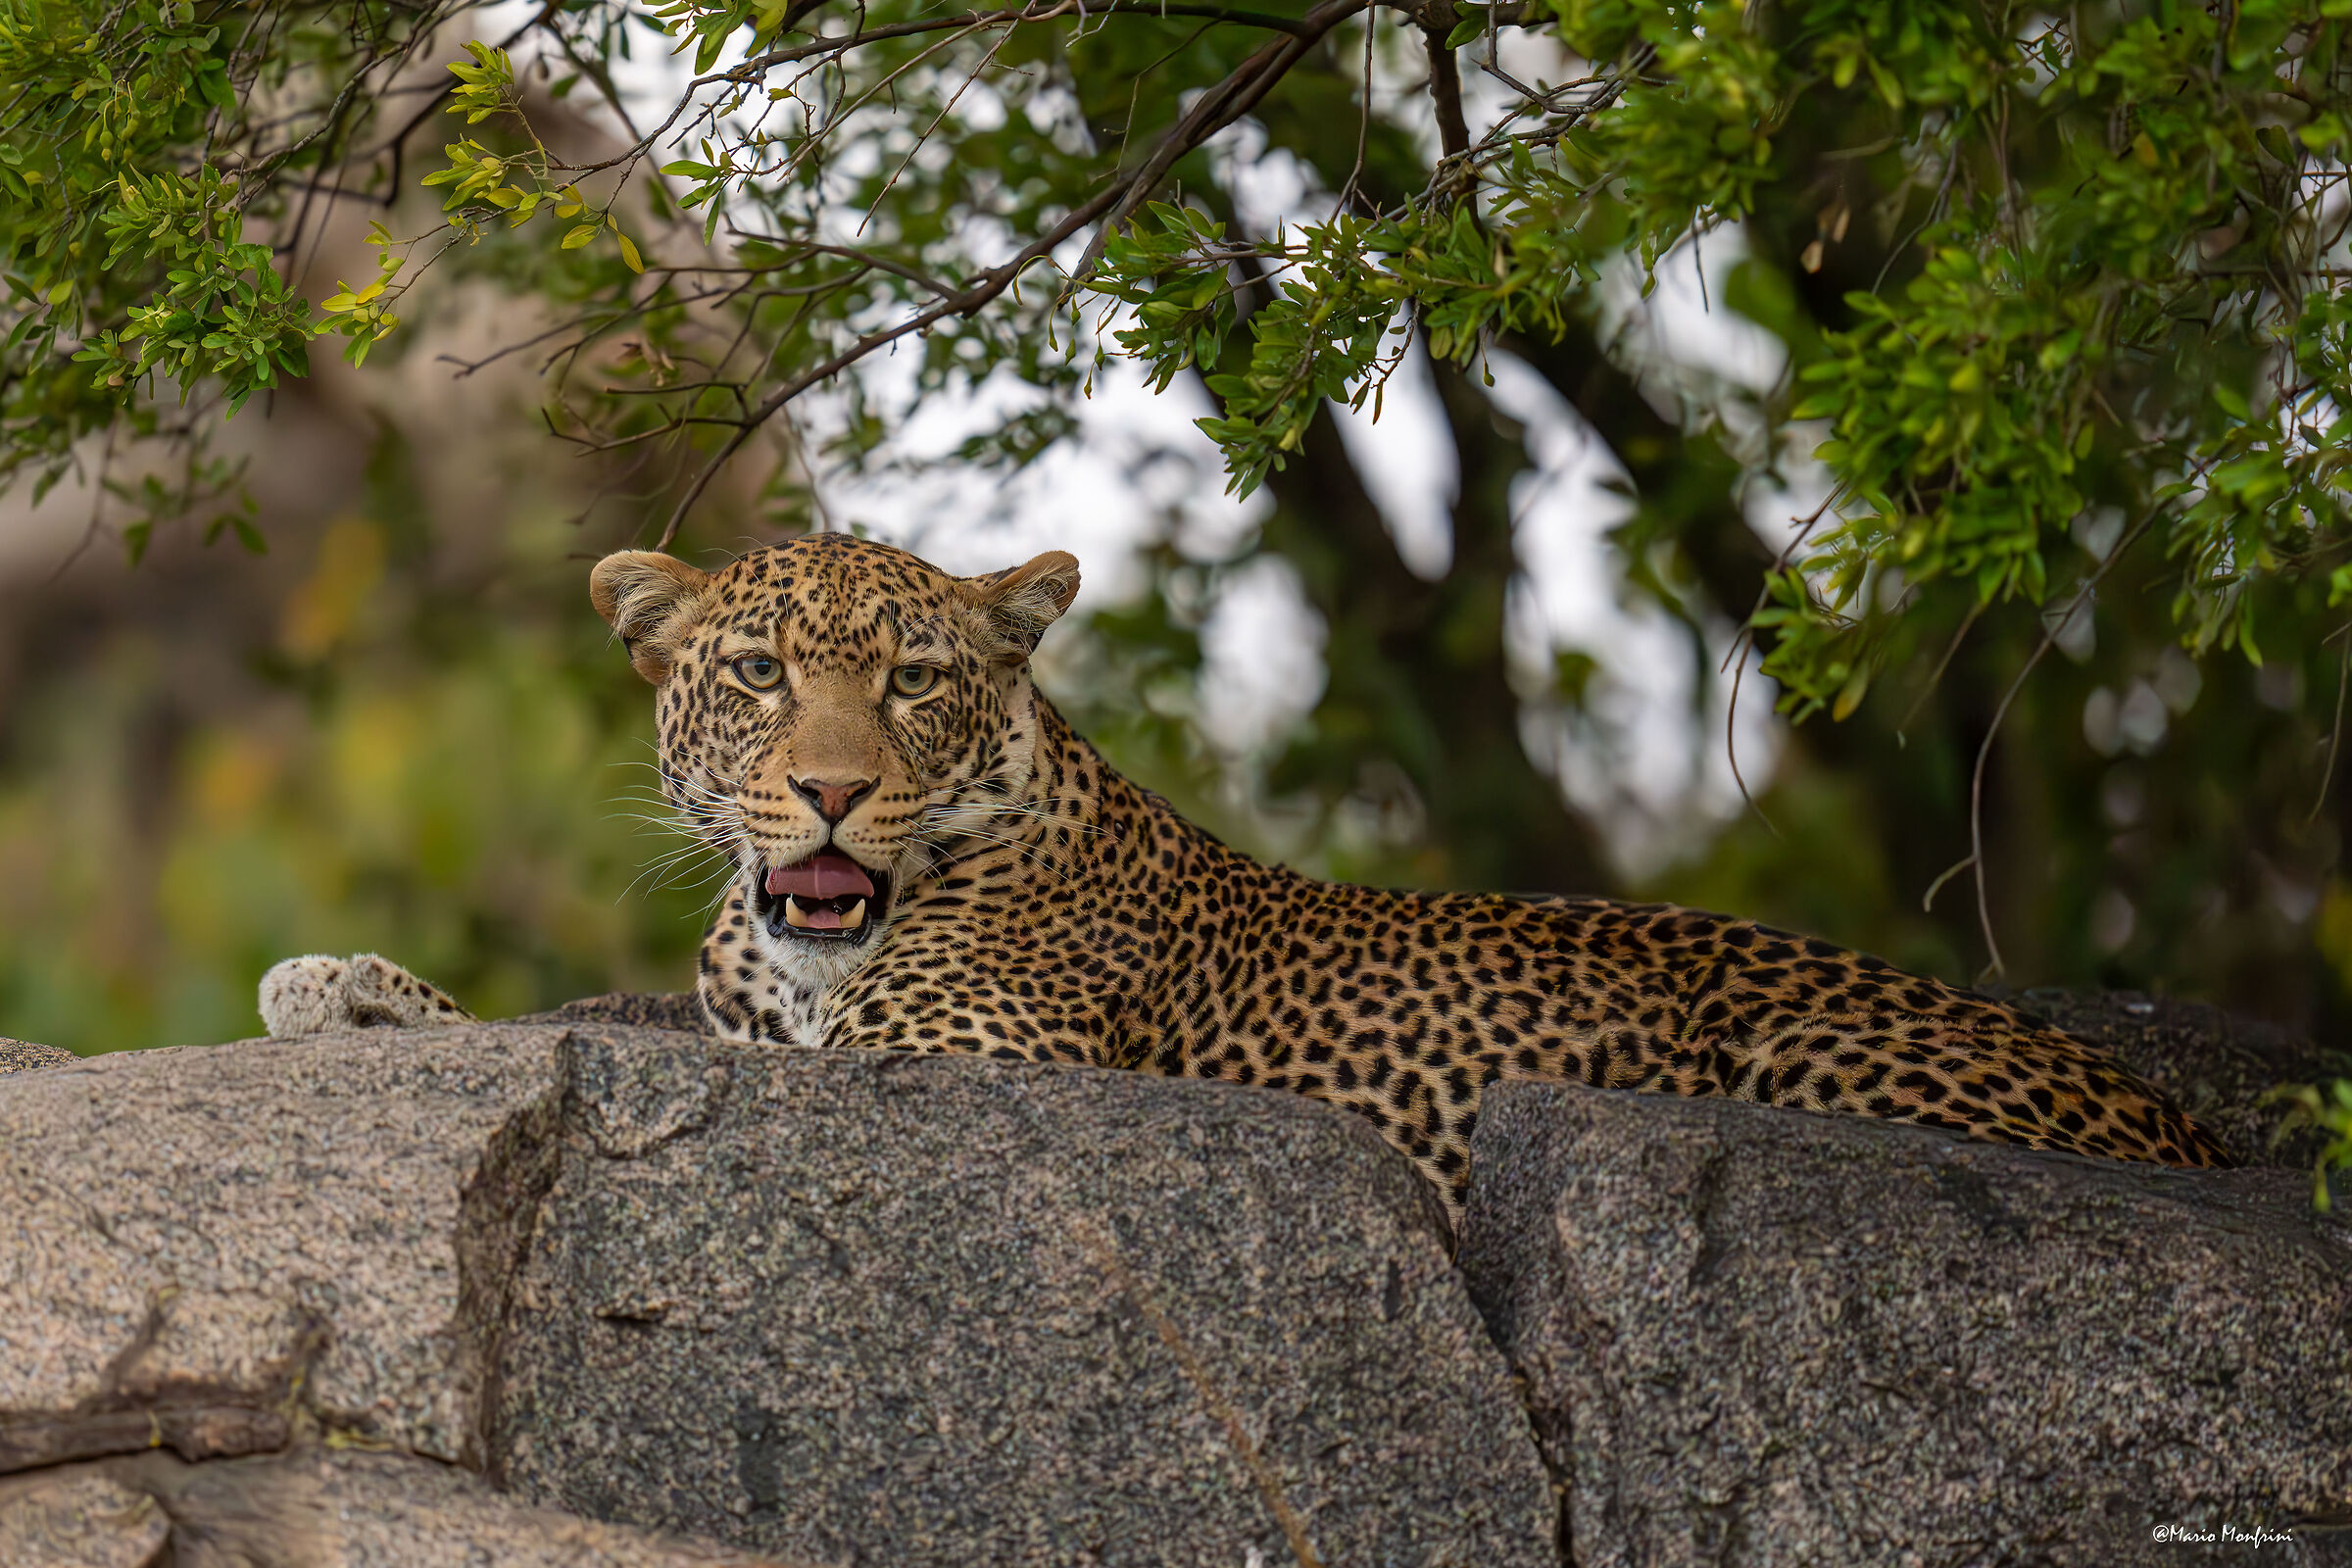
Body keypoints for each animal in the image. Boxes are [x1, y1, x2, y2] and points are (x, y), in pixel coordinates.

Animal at [263, 533, 2232, 1221]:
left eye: (915, 680)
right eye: (755, 672)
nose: (828, 792)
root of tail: (2187, 1129)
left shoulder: (972, 1058)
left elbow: (661, 1053)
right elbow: (598, 1019)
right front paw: (341, 987)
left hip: (1812, 1050)